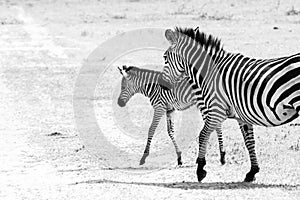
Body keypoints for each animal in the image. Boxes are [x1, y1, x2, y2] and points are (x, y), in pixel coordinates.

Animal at [158, 27, 298, 183]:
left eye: (165, 57)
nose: (162, 85)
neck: (210, 72)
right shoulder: (241, 116)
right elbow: (249, 142)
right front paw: (252, 172)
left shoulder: (216, 110)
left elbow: (203, 135)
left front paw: (200, 169)